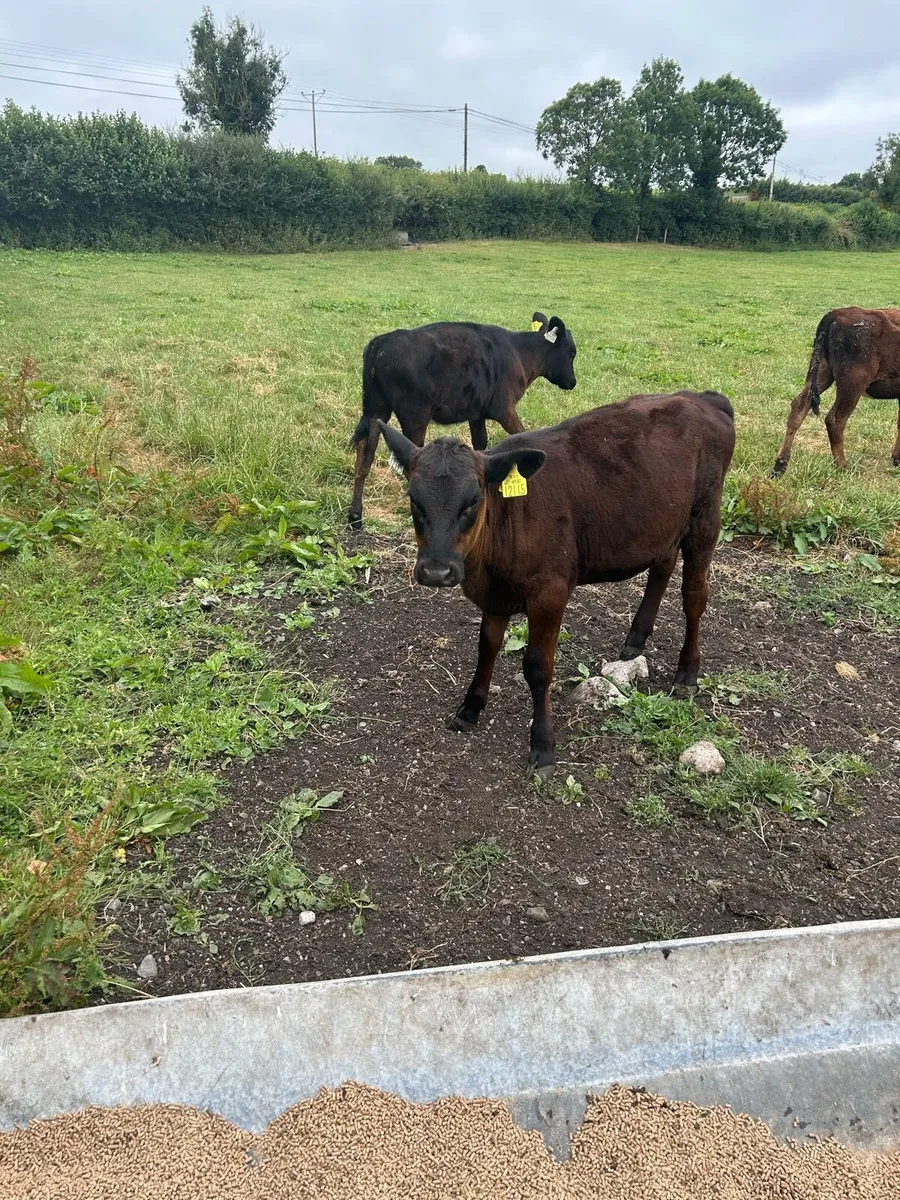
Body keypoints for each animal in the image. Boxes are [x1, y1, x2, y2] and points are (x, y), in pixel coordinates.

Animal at [347, 312, 577, 530]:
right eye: (572, 352)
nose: (572, 382)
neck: (521, 354)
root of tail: (382, 341)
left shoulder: (476, 414)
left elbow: (481, 446)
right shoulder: (505, 410)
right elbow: (522, 434)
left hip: (376, 409)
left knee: (365, 454)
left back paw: (355, 517)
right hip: (415, 415)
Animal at [378, 391, 736, 777]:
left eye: (473, 501)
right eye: (414, 500)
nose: (436, 571)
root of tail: (700, 397)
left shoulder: (550, 592)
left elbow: (538, 667)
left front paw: (543, 745)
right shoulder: (495, 596)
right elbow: (486, 647)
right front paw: (470, 708)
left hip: (705, 514)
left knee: (694, 595)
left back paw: (687, 671)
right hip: (662, 522)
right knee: (663, 565)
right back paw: (636, 638)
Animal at [772, 307, 900, 476]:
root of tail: (837, 313)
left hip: (821, 372)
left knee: (799, 406)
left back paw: (780, 464)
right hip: (852, 384)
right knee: (835, 419)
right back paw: (842, 466)